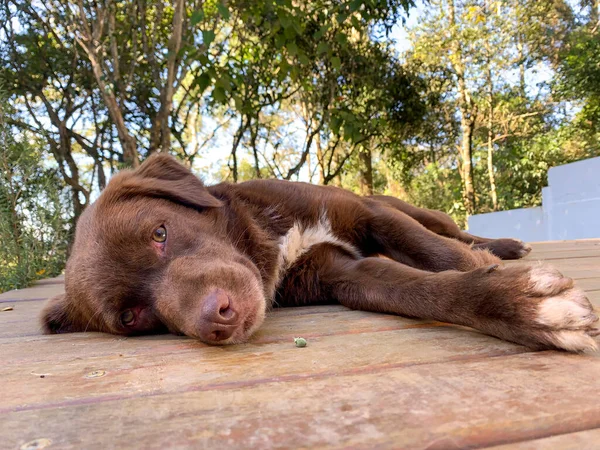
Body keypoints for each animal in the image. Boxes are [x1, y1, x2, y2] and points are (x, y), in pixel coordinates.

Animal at [42, 155, 600, 352]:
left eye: (160, 232)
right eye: (131, 317)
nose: (217, 319)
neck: (272, 242)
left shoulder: (368, 215)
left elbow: (445, 258)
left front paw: (500, 275)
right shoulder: (342, 274)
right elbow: (420, 290)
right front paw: (522, 307)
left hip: (399, 205)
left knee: (451, 232)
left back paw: (503, 246)